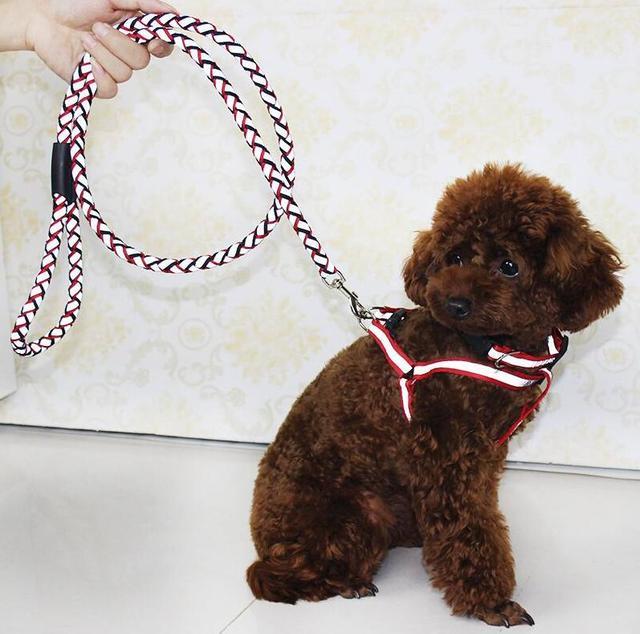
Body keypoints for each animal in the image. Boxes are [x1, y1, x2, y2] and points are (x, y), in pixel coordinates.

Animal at [246, 163, 623, 627]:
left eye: (509, 266)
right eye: (455, 257)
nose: (453, 302)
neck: (488, 347)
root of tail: (264, 543)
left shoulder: (483, 457)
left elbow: (479, 518)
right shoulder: (446, 459)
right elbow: (468, 530)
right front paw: (490, 602)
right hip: (355, 518)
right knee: (287, 576)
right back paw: (347, 582)